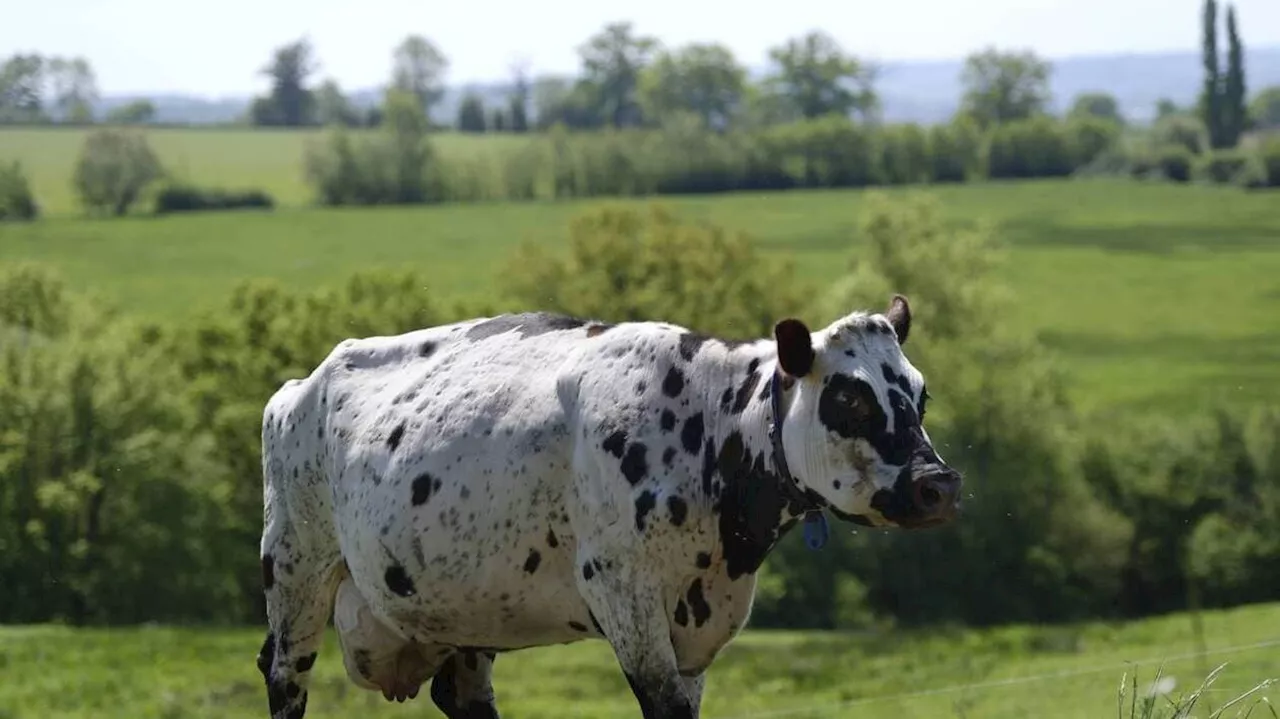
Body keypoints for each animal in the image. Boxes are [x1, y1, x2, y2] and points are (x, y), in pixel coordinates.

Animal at [257, 292, 962, 716]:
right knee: (284, 673)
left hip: (465, 608)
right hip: (296, 569)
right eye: (851, 399)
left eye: (920, 396)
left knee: (462, 693)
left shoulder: (698, 631)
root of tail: (301, 384)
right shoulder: (625, 594)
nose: (939, 485)